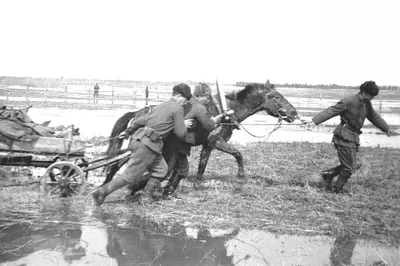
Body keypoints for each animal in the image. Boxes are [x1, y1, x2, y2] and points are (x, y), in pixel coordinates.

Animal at [102, 81, 296, 185]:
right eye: (276, 96)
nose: (294, 113)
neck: (225, 111)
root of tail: (138, 113)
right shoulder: (216, 141)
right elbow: (238, 154)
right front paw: (241, 176)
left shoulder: (208, 145)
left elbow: (203, 164)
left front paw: (197, 183)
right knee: (117, 162)